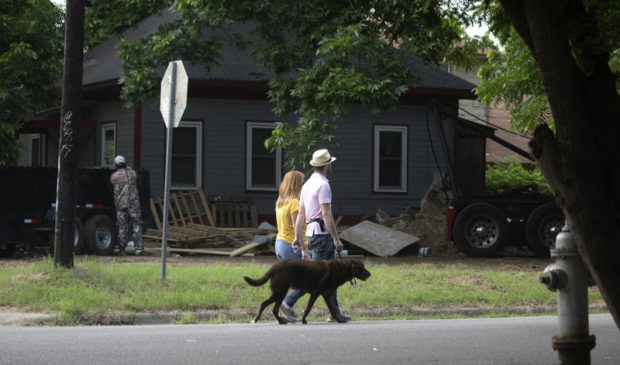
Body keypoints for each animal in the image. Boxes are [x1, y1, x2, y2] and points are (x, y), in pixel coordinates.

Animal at [242, 258, 370, 322]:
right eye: (362, 267)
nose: (370, 274)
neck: (342, 269)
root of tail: (276, 265)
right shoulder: (316, 294)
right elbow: (308, 309)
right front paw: (304, 320)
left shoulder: (326, 295)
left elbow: (332, 309)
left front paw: (338, 319)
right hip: (280, 292)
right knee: (264, 304)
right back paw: (257, 319)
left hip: (281, 293)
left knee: (274, 309)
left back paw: (281, 321)